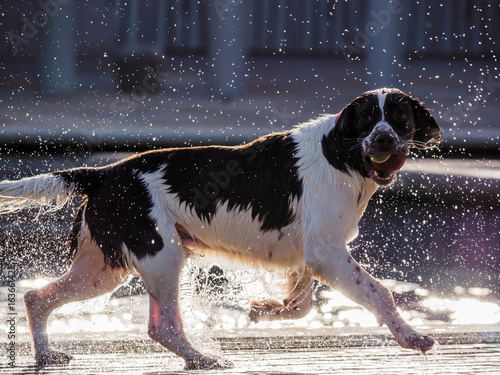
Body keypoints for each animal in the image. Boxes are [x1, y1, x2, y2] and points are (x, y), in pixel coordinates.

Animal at [1, 88, 444, 370]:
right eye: (368, 118)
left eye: (399, 118)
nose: (384, 139)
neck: (340, 153)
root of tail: (105, 172)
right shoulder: (327, 253)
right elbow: (380, 294)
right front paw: (412, 337)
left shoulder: (308, 255)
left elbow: (301, 305)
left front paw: (266, 310)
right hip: (161, 256)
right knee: (162, 326)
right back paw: (203, 358)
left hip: (103, 269)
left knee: (37, 298)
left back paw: (46, 355)